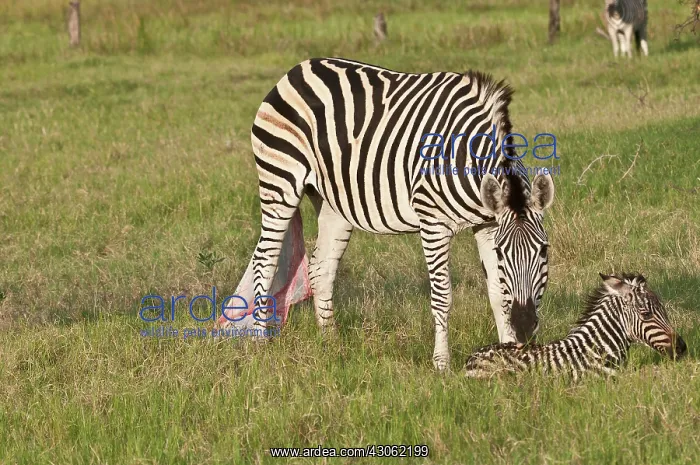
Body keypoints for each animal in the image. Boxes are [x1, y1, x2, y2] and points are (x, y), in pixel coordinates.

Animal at [246, 58, 555, 370]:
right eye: (505, 254)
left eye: (544, 251)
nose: (525, 327)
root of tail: (298, 69)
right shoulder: (433, 223)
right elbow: (442, 296)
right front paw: (441, 364)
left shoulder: (488, 224)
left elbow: (498, 293)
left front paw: (508, 355)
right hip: (279, 182)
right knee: (265, 261)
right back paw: (260, 344)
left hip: (333, 205)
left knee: (321, 269)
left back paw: (330, 344)